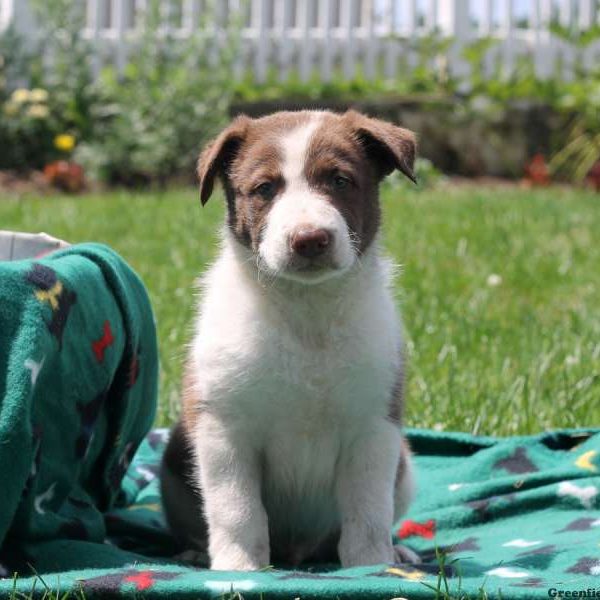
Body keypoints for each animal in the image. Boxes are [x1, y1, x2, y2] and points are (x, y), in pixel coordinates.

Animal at [162, 109, 420, 572]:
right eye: (265, 188)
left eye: (340, 180)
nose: (310, 239)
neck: (306, 309)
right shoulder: (224, 429)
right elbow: (236, 509)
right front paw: (240, 569)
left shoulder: (373, 426)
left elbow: (369, 512)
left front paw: (372, 567)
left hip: (406, 467)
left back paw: (398, 552)